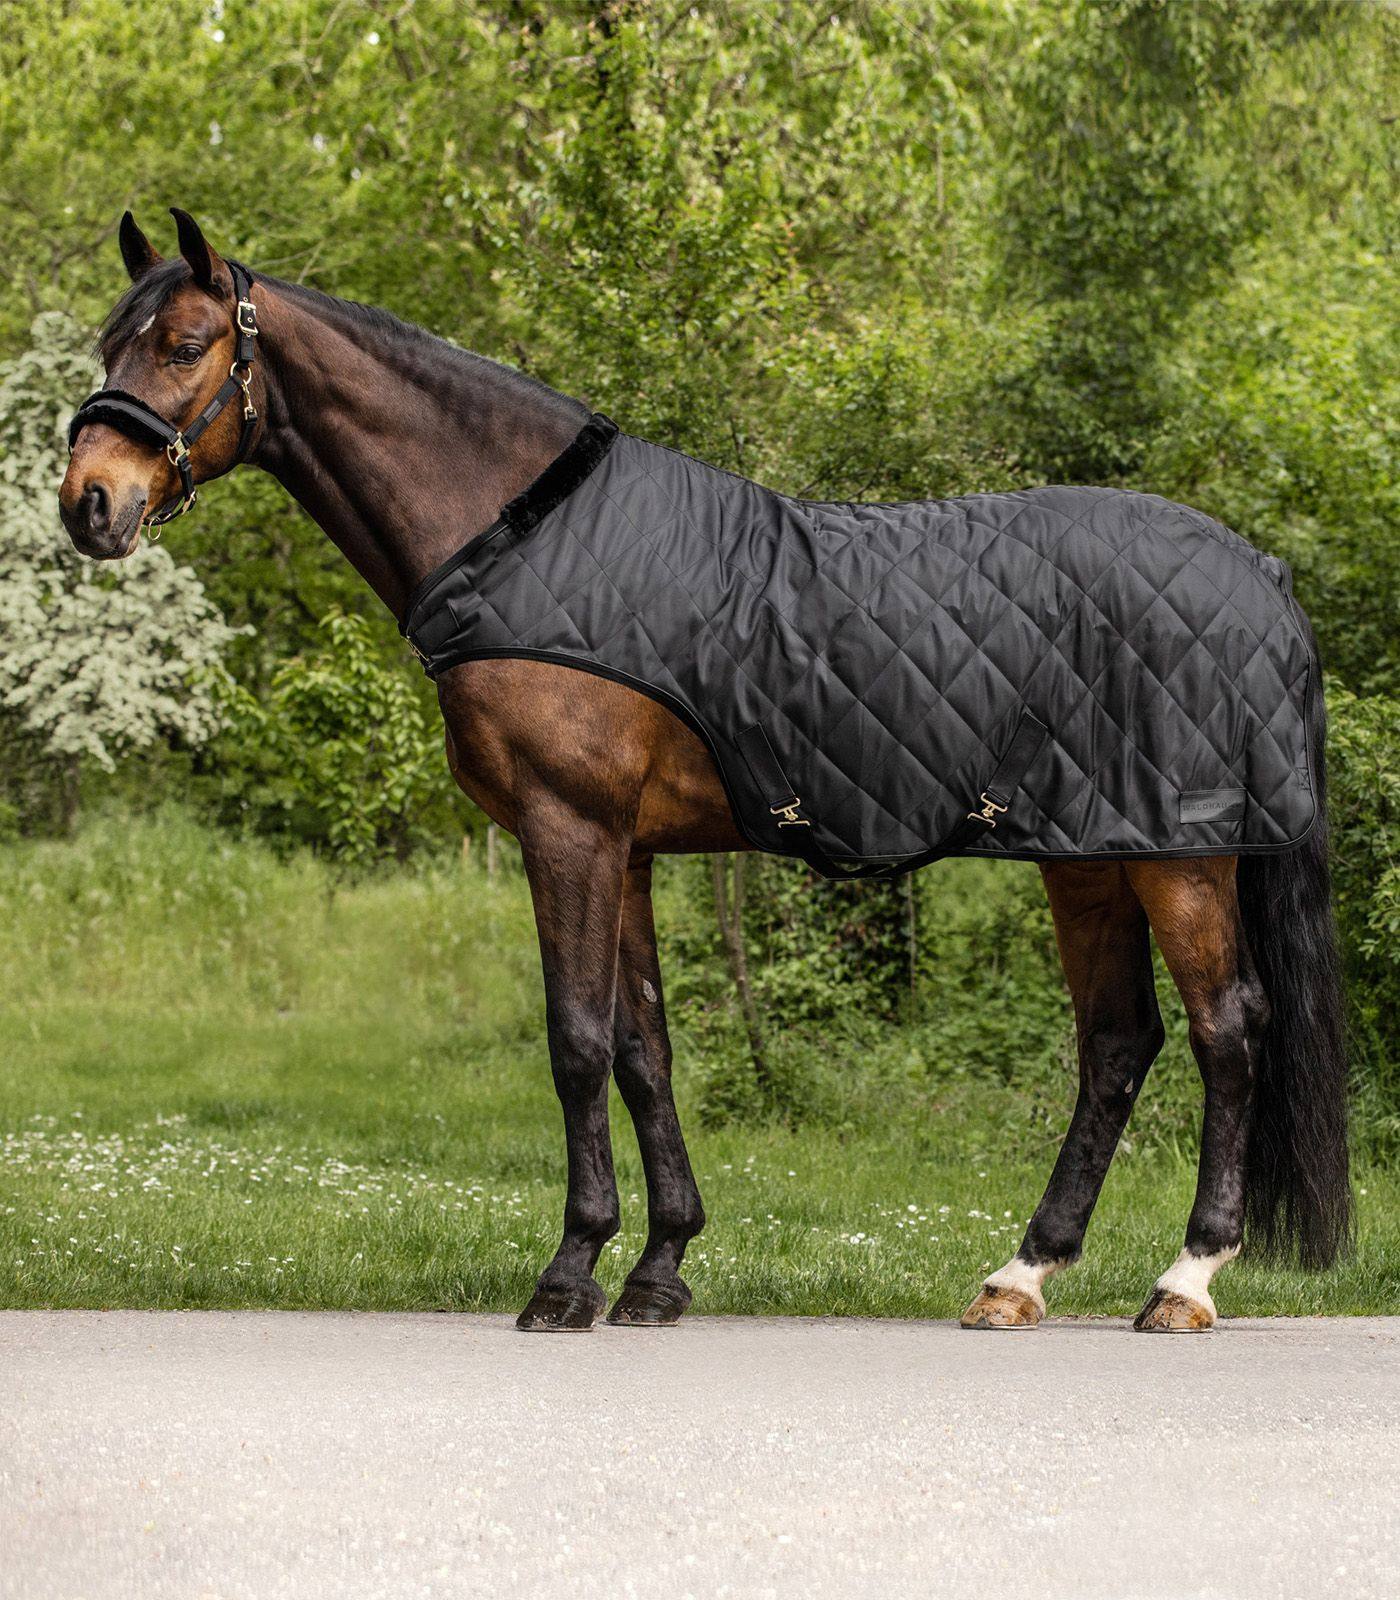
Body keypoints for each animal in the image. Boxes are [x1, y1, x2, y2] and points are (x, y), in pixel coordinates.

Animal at [59, 210, 1350, 1334]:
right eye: (106, 342)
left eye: (184, 344)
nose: (90, 505)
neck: (520, 533)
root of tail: (1260, 574)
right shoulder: (621, 846)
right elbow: (645, 1048)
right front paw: (658, 1267)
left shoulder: (567, 827)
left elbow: (577, 1040)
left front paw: (567, 1275)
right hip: (1085, 855)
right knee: (1116, 1044)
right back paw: (1018, 1276)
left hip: (1179, 856)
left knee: (1225, 1031)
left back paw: (1183, 1280)